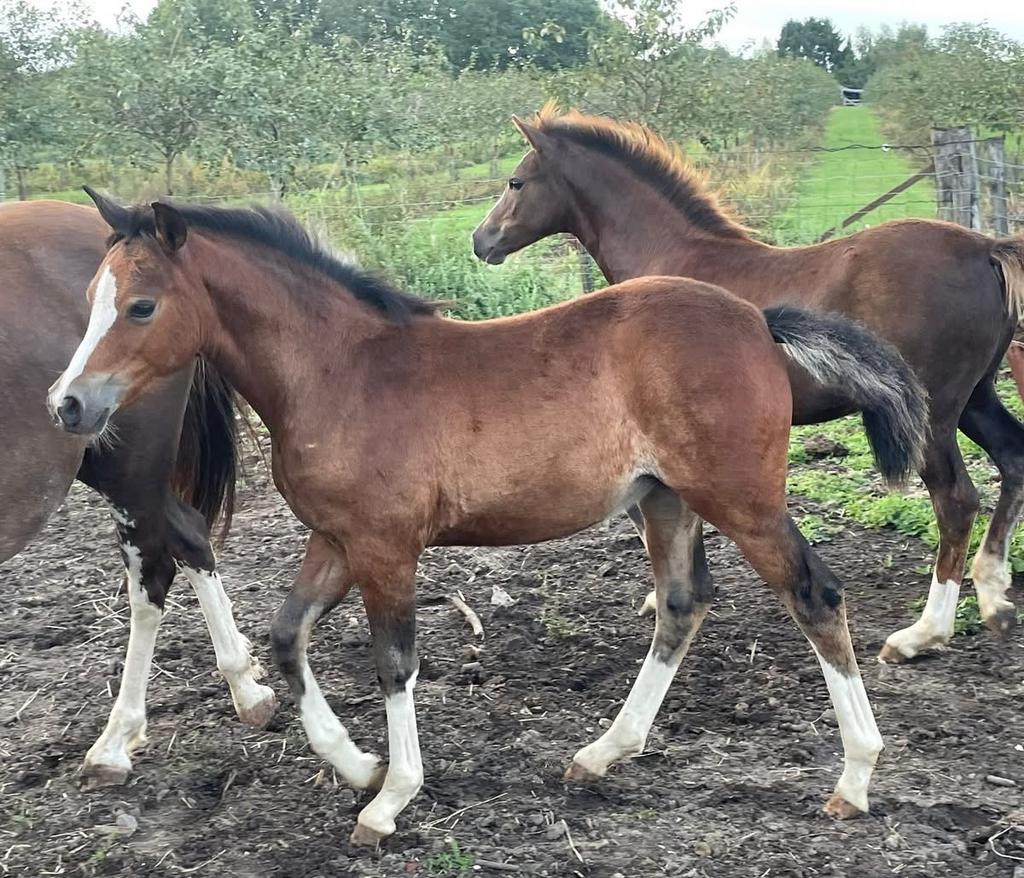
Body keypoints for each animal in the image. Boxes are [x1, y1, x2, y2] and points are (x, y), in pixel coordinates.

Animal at [0, 199, 275, 787]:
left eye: (141, 307)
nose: (63, 402)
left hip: (129, 465)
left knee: (155, 573)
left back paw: (116, 741)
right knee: (190, 537)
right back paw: (247, 689)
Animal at [48, 189, 927, 844]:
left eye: (142, 306)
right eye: (89, 299)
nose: (67, 404)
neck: (338, 373)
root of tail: (758, 321)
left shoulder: (387, 548)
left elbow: (394, 662)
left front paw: (390, 797)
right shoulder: (336, 539)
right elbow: (288, 639)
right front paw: (356, 764)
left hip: (740, 498)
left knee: (814, 596)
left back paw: (855, 775)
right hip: (665, 500)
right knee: (682, 606)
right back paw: (604, 752)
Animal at [472, 105, 1024, 663]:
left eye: (516, 181)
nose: (481, 240)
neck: (673, 256)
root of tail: (986, 247)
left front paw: (659, 597)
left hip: (935, 414)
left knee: (956, 501)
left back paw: (921, 634)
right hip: (976, 398)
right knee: (1013, 458)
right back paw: (994, 597)